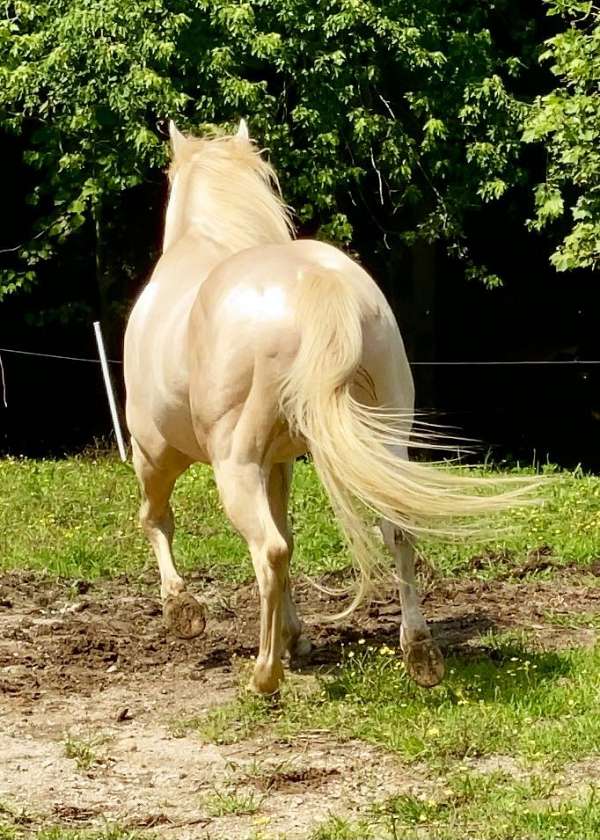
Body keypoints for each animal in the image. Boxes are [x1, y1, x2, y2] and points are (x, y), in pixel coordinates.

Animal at [124, 120, 528, 695]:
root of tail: (317, 281)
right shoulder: (280, 463)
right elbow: (291, 536)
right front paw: (296, 638)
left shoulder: (158, 454)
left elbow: (157, 520)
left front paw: (184, 611)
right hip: (386, 446)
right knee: (394, 530)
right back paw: (420, 653)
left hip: (230, 465)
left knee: (267, 550)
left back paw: (264, 675)